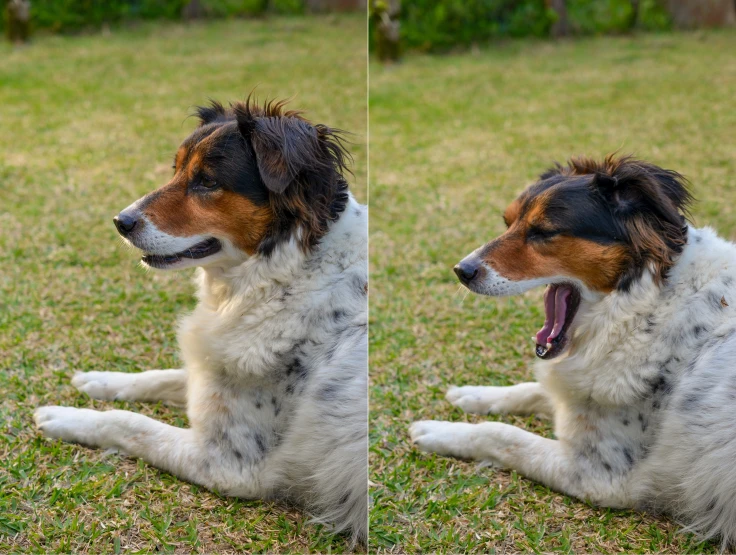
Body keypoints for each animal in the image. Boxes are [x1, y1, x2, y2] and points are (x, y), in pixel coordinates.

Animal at [34, 97, 368, 544]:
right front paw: (100, 380)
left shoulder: (229, 463)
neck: (288, 275)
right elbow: (161, 376)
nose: (120, 222)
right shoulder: (211, 371)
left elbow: (130, 423)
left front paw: (66, 416)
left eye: (207, 182)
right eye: (175, 170)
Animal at [412, 155, 736, 548]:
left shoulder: (601, 476)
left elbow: (502, 435)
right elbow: (532, 390)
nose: (462, 270)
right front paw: (473, 394)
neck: (646, 306)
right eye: (509, 221)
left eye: (544, 232)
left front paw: (439, 431)